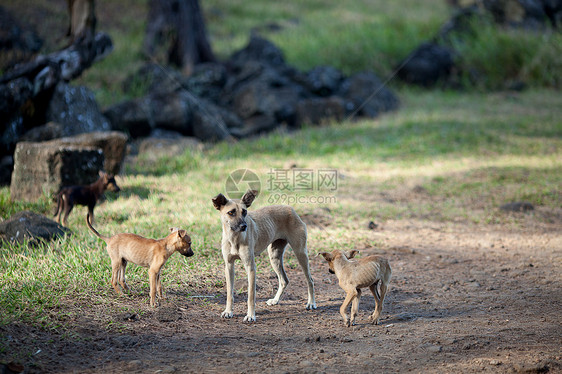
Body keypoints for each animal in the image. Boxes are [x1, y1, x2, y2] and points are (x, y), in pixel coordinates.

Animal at [210, 190, 316, 322]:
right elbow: (230, 294)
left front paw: (250, 315)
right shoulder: (229, 266)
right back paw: (275, 300)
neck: (234, 238)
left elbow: (251, 296)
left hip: (300, 253)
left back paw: (311, 303)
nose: (244, 226)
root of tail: (290, 209)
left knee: (310, 280)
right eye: (231, 212)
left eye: (244, 212)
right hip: (274, 257)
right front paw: (228, 311)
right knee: (284, 280)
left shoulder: (250, 267)